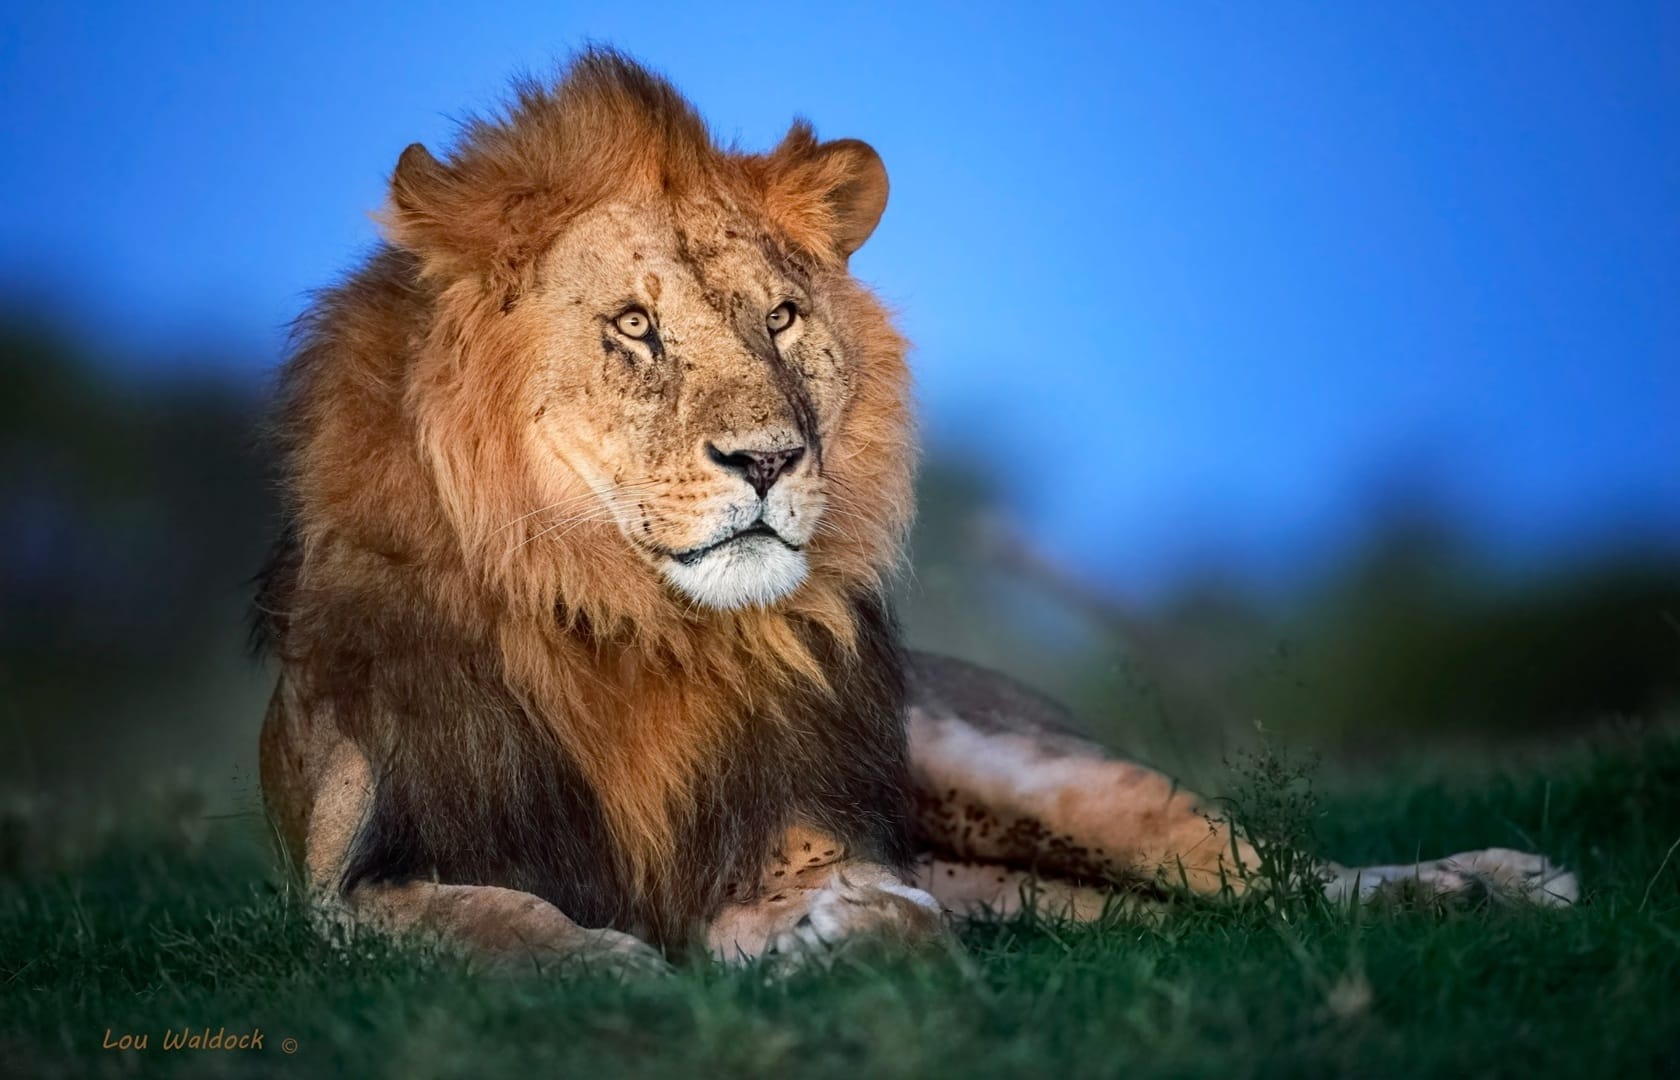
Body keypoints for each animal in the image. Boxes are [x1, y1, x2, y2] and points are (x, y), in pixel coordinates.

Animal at [256, 50, 1575, 972]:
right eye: (634, 326)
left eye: (781, 318)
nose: (770, 459)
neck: (625, 625)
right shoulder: (351, 877)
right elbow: (485, 926)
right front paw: (608, 967)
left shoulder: (801, 824)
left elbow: (876, 903)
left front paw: (841, 944)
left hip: (1012, 761)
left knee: (1274, 871)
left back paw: (1484, 884)